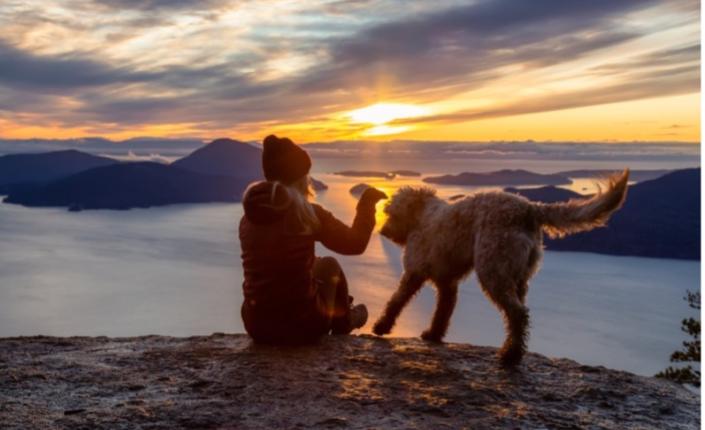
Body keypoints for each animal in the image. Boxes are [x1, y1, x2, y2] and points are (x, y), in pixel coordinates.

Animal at [372, 170, 628, 366]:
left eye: (391, 212)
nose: (382, 231)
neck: (422, 216)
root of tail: (529, 209)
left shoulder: (413, 272)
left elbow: (396, 301)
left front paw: (382, 326)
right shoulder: (447, 284)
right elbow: (442, 312)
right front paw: (434, 334)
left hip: (493, 272)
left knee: (517, 314)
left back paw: (510, 356)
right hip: (518, 278)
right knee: (520, 315)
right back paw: (515, 351)